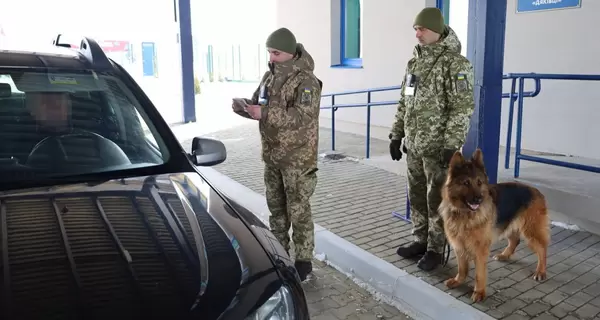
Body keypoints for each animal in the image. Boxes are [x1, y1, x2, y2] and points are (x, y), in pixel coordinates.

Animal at [440, 149, 548, 302]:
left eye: (479, 182)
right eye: (466, 183)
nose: (479, 199)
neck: (464, 213)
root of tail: (536, 191)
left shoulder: (480, 249)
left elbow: (479, 274)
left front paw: (479, 292)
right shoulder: (459, 245)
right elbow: (462, 268)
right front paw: (458, 281)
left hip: (530, 231)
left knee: (542, 249)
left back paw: (540, 271)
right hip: (509, 225)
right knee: (515, 240)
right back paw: (504, 255)